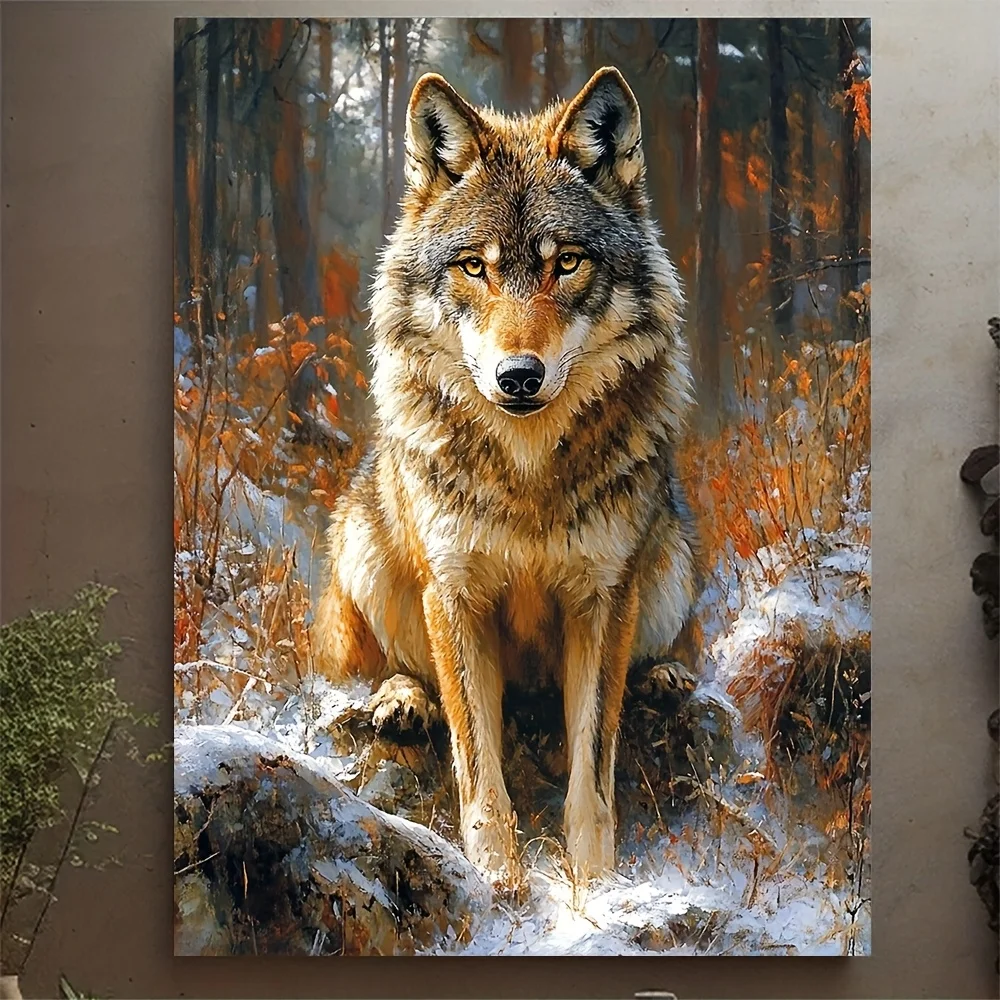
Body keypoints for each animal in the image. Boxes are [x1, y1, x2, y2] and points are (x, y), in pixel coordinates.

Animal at [315, 66, 699, 880]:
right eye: (475, 267)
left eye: (567, 262)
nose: (518, 376)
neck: (527, 473)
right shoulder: (455, 595)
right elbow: (479, 765)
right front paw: (497, 875)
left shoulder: (603, 598)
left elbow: (592, 772)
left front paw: (595, 885)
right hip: (363, 547)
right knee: (372, 668)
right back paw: (400, 700)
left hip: (671, 558)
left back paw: (667, 676)